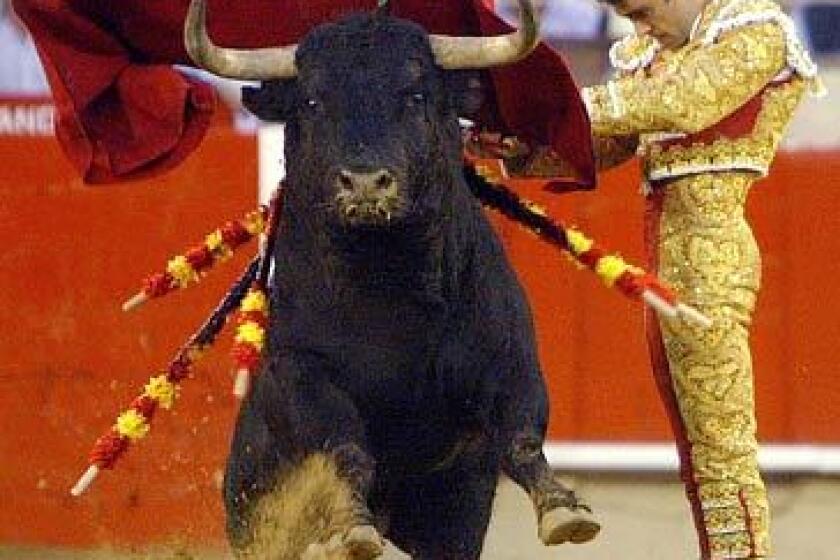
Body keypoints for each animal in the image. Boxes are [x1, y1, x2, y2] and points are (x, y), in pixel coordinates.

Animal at [220, 10, 592, 556]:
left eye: (415, 95)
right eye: (312, 101)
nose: (365, 182)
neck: (390, 282)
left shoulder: (508, 359)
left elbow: (522, 433)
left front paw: (563, 508)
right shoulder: (302, 374)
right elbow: (346, 448)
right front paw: (353, 526)